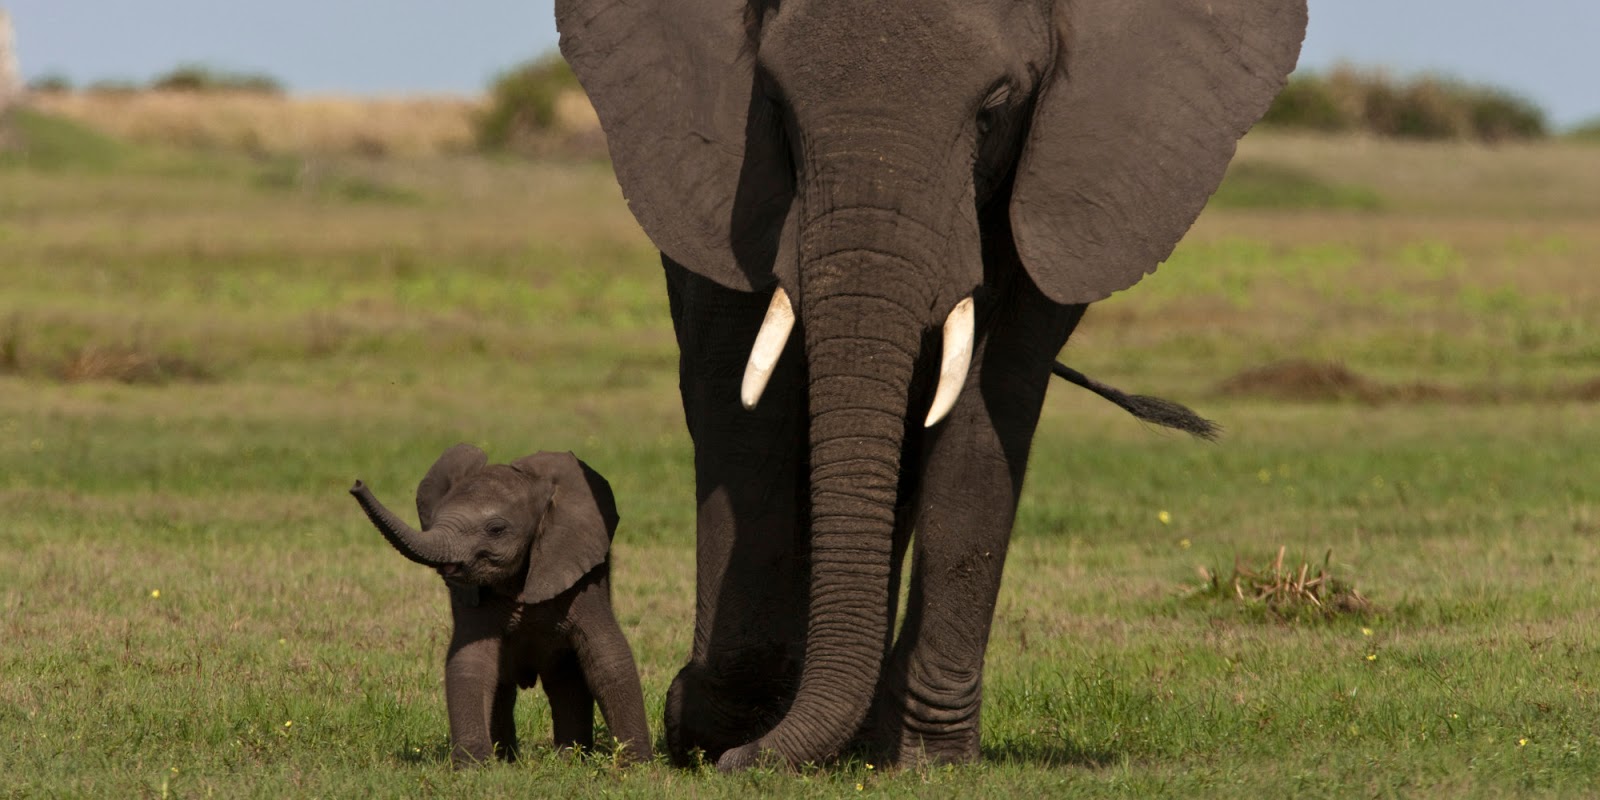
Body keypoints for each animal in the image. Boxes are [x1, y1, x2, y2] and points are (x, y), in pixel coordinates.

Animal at [352, 448, 649, 764]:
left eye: (496, 529)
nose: (356, 483)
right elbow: (470, 661)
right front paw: (474, 766)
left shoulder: (583, 574)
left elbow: (608, 657)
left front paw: (636, 766)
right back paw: (511, 759)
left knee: (566, 683)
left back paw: (568, 760)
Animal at [556, 0, 1305, 768]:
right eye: (777, 104)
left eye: (994, 109)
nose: (743, 761)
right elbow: (743, 394)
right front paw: (718, 736)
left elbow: (988, 403)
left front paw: (924, 758)